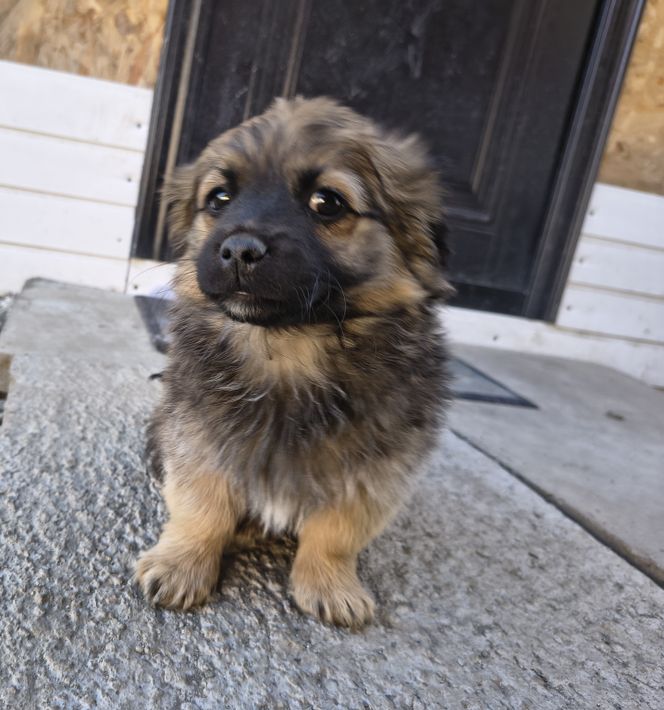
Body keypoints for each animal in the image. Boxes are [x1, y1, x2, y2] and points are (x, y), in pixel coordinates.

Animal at [135, 97, 451, 627]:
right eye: (219, 198)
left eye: (328, 202)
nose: (239, 249)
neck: (286, 348)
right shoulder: (197, 441)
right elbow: (201, 507)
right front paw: (181, 564)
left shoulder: (374, 473)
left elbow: (336, 532)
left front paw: (330, 583)